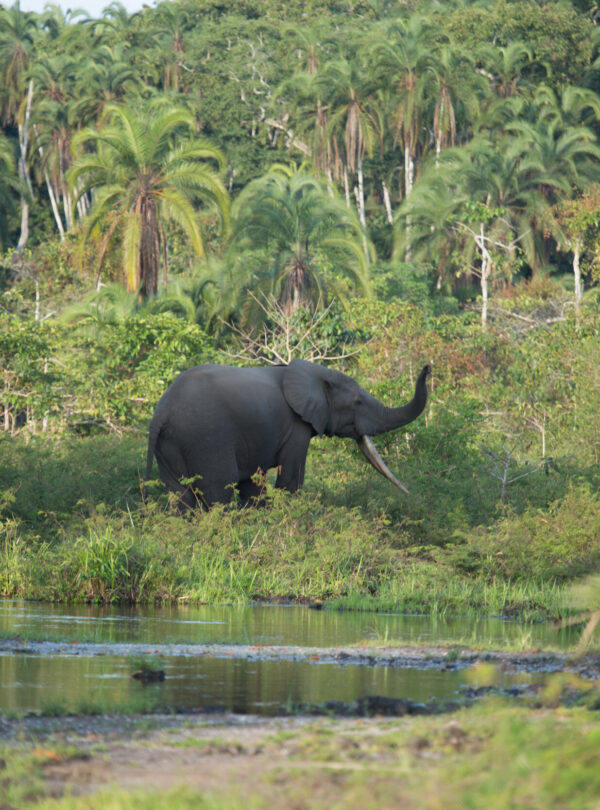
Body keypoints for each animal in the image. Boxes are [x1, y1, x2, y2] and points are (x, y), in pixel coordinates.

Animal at [144, 358, 432, 504]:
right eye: (358, 403)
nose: (428, 367)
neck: (317, 372)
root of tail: (162, 413)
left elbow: (253, 483)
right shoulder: (296, 426)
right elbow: (291, 479)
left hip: (170, 444)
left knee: (179, 495)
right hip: (205, 439)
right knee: (219, 491)